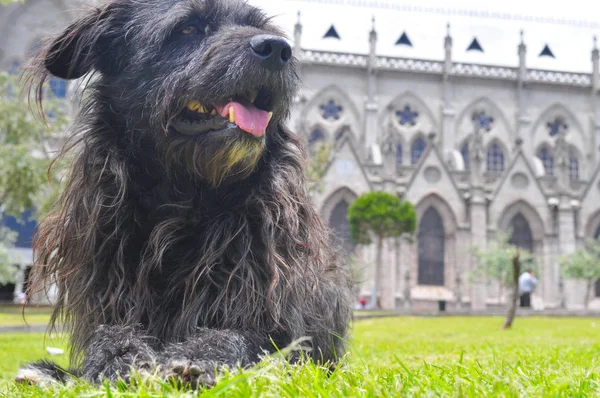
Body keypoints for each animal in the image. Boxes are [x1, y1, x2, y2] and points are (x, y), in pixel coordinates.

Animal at [17, 0, 352, 390]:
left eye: (261, 28)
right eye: (189, 28)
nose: (279, 50)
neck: (187, 196)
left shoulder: (282, 325)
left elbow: (241, 337)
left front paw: (200, 357)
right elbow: (108, 335)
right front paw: (119, 361)